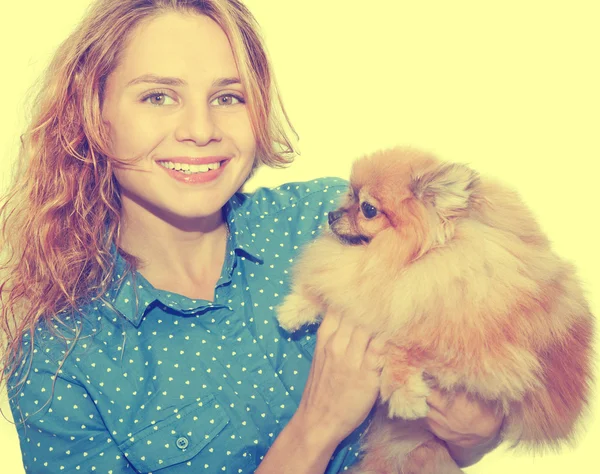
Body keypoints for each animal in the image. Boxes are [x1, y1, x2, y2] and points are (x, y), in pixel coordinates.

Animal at [276, 148, 596, 474]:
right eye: (349, 195)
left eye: (367, 209)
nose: (331, 215)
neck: (413, 261)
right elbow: (329, 286)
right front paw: (294, 308)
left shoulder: (478, 345)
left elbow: (406, 344)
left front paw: (401, 391)